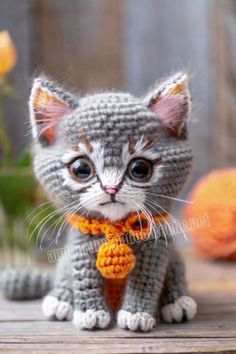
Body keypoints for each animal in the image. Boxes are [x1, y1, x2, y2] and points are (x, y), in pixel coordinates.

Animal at [0, 72, 196, 332]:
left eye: (140, 169)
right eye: (81, 169)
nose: (111, 188)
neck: (114, 229)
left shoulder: (155, 249)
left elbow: (145, 282)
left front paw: (137, 314)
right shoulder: (81, 247)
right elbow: (85, 279)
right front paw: (90, 313)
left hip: (174, 260)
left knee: (175, 273)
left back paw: (178, 302)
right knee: (62, 275)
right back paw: (60, 299)